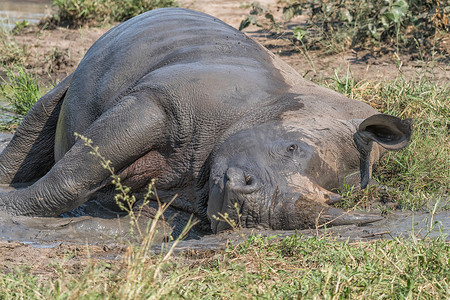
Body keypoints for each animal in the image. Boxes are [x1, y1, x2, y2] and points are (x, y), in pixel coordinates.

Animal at [0, 7, 412, 232]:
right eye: (292, 147)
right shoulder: (162, 101)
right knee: (45, 110)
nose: (256, 213)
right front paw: (8, 212)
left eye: (333, 197)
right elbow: (78, 171)